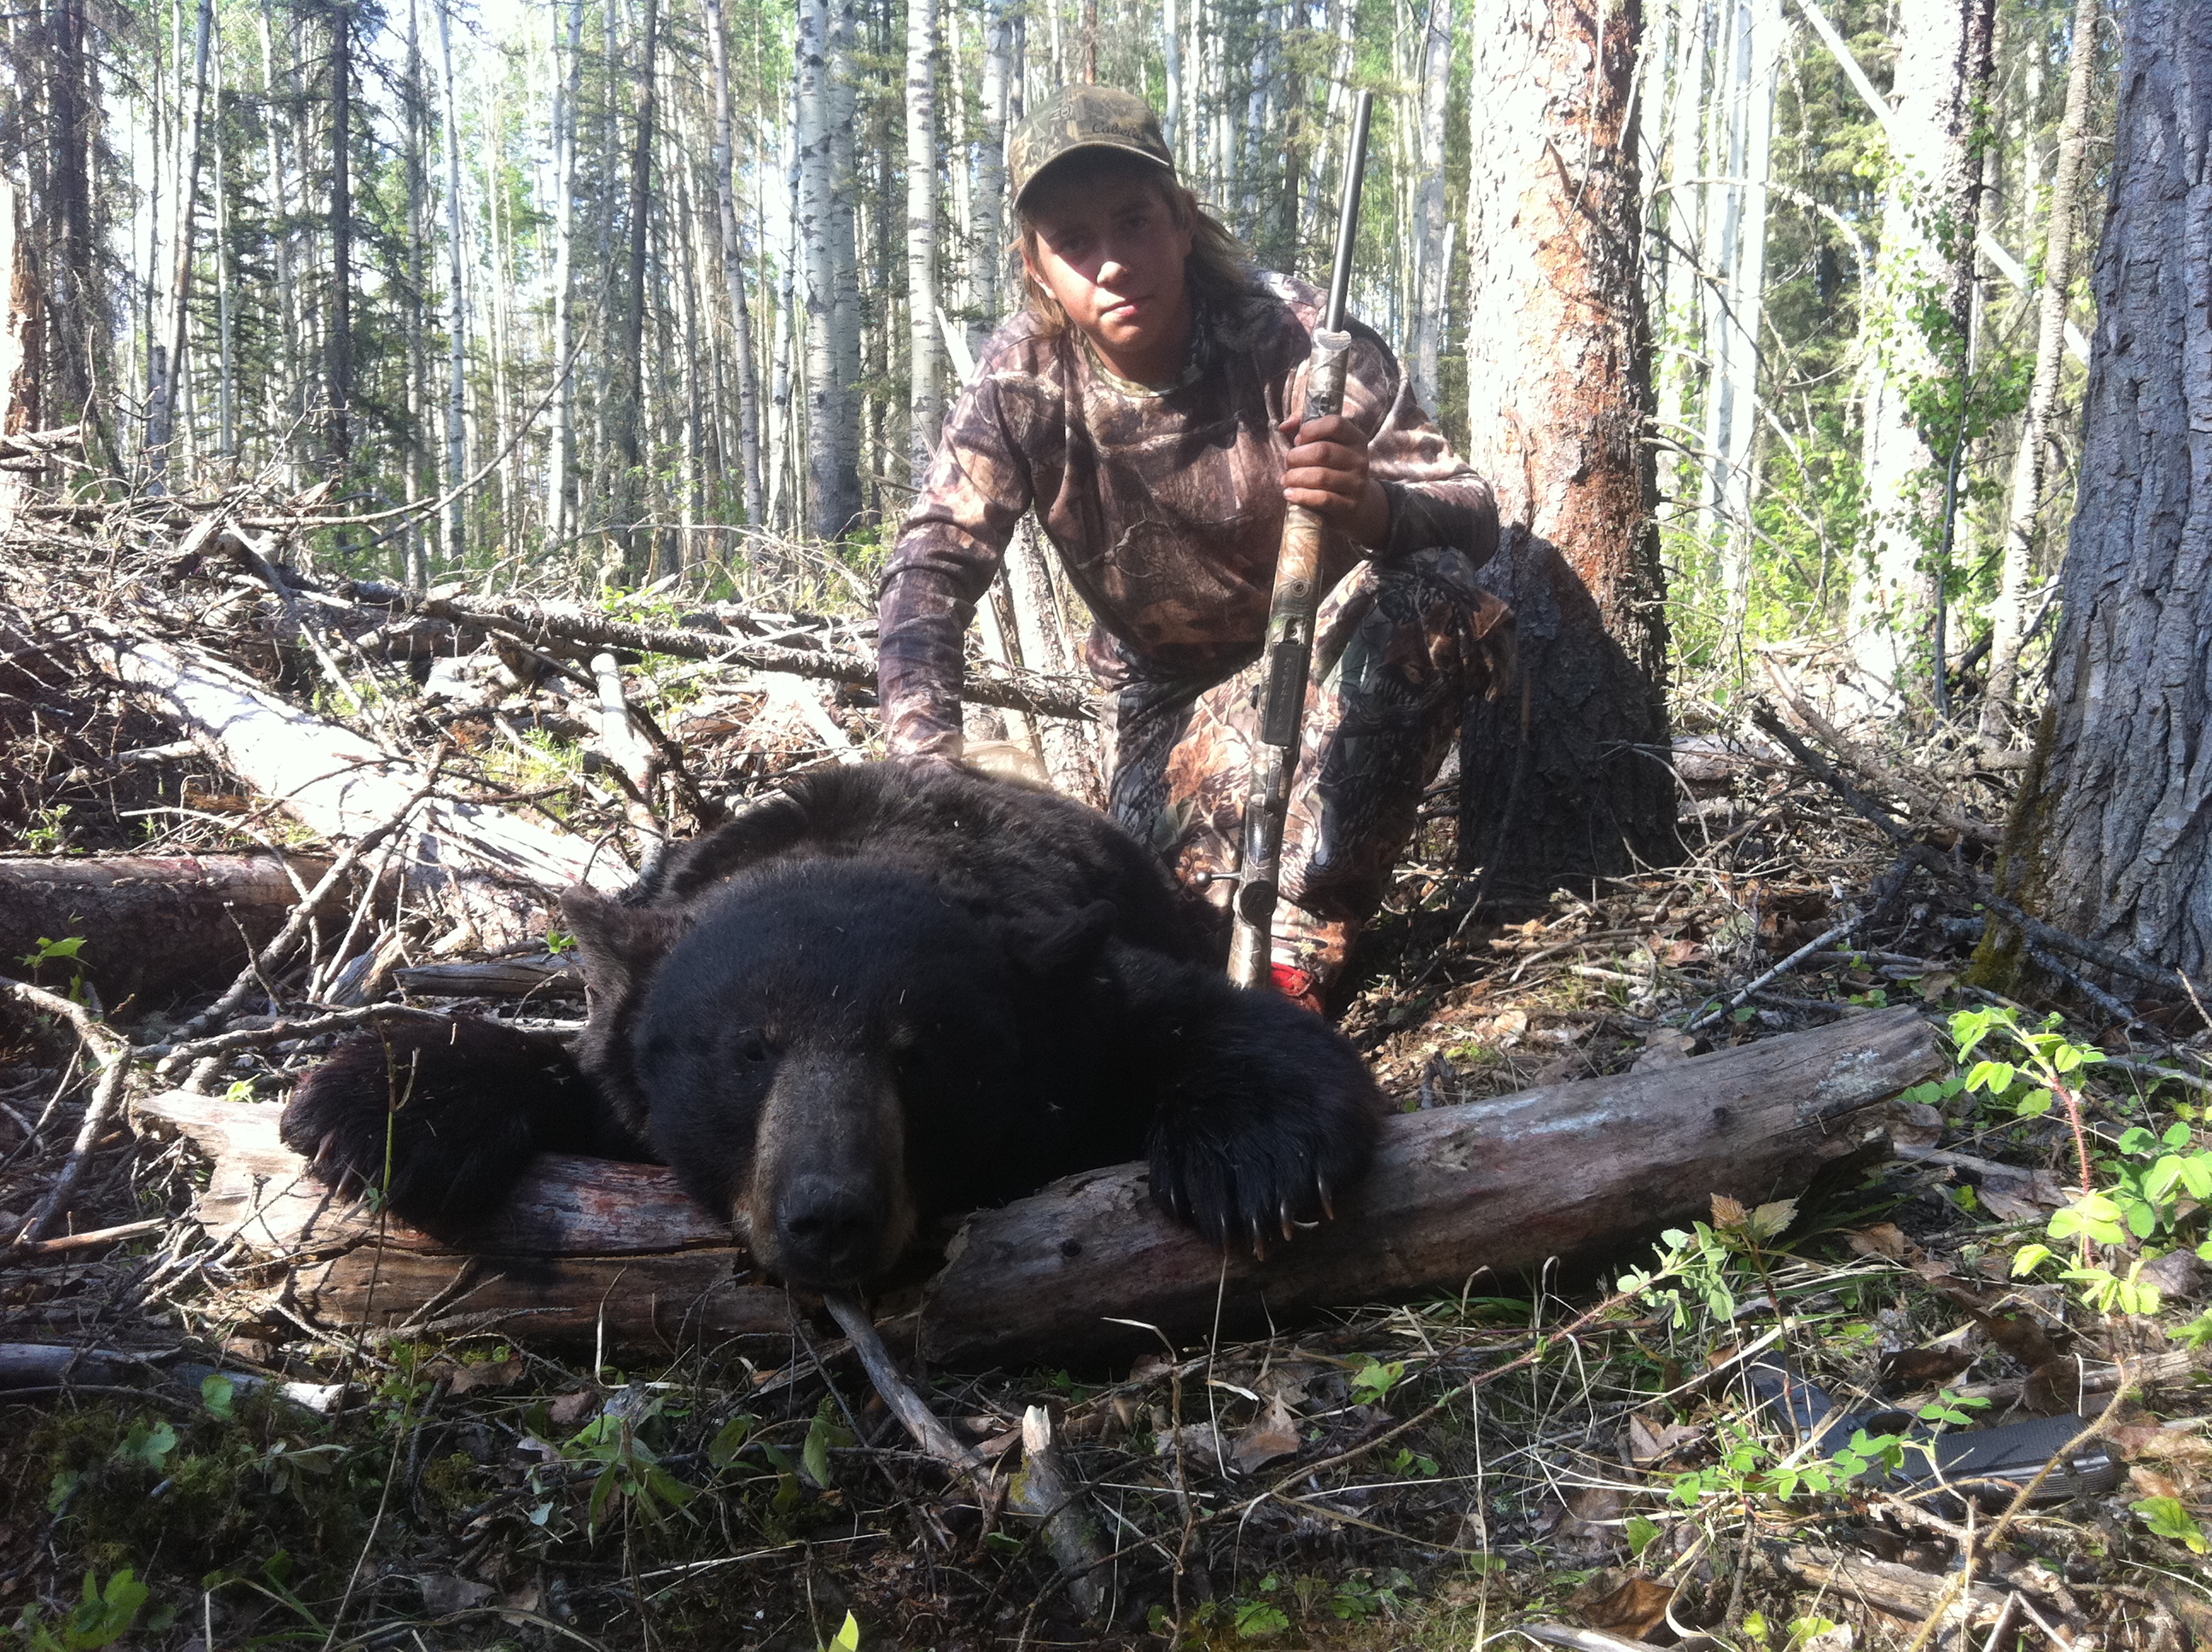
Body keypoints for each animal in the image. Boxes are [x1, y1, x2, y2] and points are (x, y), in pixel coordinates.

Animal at [281, 759, 1382, 1288]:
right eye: (749, 1050)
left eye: (923, 1056)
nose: (828, 1216)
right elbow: (566, 1065)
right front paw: (377, 1107)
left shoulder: (1082, 992)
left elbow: (1216, 1019)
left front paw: (1252, 1159)